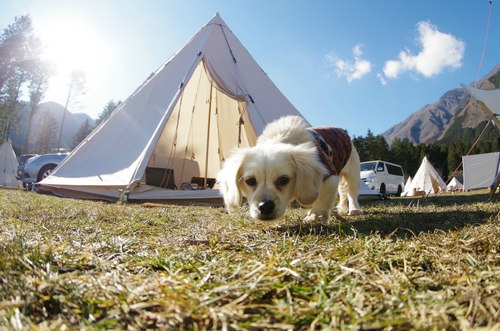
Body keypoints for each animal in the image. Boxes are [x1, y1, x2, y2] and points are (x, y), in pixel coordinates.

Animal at [216, 115, 364, 222]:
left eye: (283, 180)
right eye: (250, 181)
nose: (265, 207)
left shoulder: (329, 177)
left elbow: (322, 201)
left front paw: (315, 216)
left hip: (354, 174)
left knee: (351, 193)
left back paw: (354, 210)